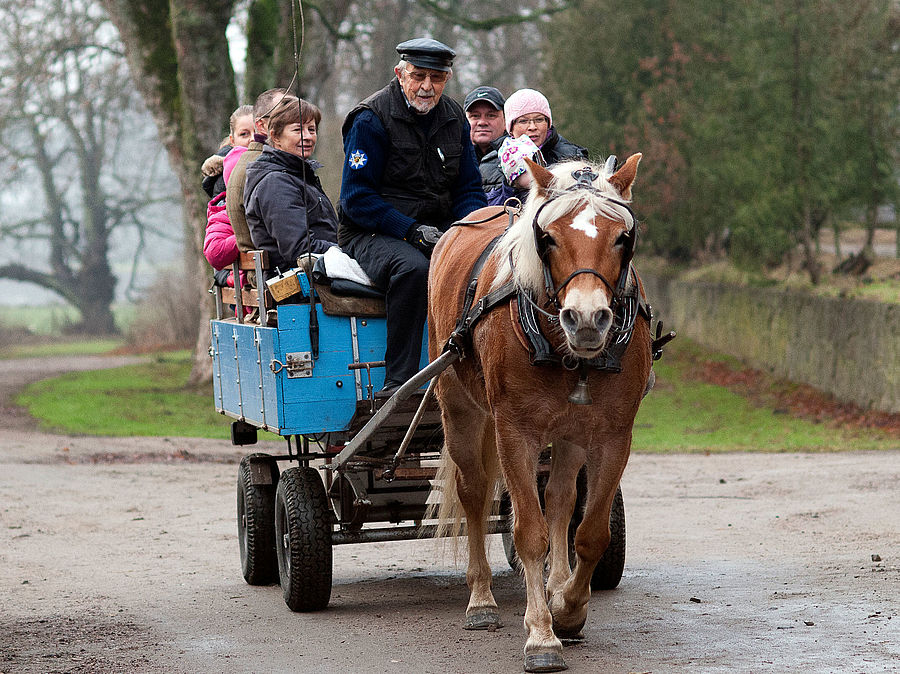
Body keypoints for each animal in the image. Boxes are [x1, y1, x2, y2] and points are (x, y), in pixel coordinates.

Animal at [426, 155, 652, 668]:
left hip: (570, 432)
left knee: (561, 498)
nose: (586, 319)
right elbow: (529, 530)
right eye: (547, 238)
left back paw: (555, 584)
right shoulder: (514, 431)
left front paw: (567, 607)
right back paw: (481, 599)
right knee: (474, 493)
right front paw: (541, 635)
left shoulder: (613, 435)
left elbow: (588, 531)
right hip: (460, 407)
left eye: (622, 237)